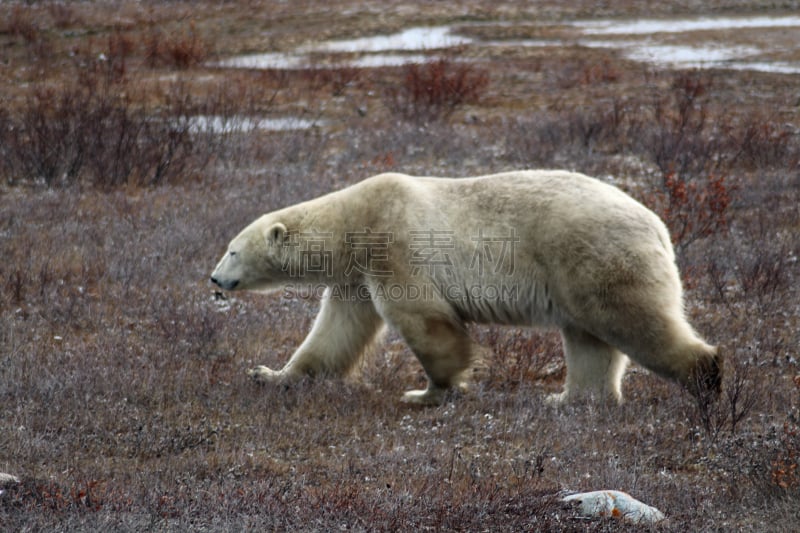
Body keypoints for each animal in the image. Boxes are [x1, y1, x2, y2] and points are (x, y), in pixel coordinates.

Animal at [209, 170, 720, 404]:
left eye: (232, 250)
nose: (214, 278)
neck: (353, 223)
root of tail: (659, 225)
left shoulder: (393, 245)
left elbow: (425, 319)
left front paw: (430, 391)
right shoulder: (356, 276)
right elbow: (334, 333)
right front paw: (269, 374)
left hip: (595, 256)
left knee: (633, 321)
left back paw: (707, 376)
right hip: (577, 274)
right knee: (588, 340)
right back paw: (569, 399)